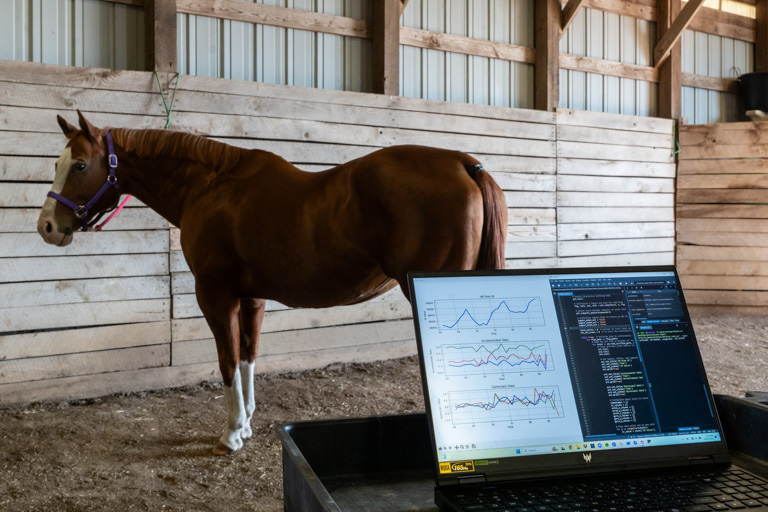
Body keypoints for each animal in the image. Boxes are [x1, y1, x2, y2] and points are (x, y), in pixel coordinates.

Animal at [36, 113, 508, 456]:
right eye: (56, 163)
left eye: (80, 164)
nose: (47, 227)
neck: (210, 186)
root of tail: (465, 163)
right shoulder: (252, 298)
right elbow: (248, 356)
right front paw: (245, 423)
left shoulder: (216, 296)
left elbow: (227, 361)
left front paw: (229, 436)